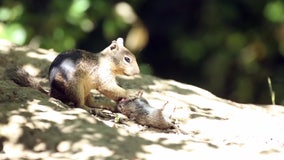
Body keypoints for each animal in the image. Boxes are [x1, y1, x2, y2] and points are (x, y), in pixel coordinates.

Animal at [6, 37, 140, 111]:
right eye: (127, 59)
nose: (138, 72)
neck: (106, 61)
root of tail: (52, 93)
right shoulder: (103, 76)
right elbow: (108, 88)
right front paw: (132, 92)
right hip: (75, 88)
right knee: (79, 104)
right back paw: (90, 109)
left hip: (86, 90)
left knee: (89, 102)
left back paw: (101, 106)